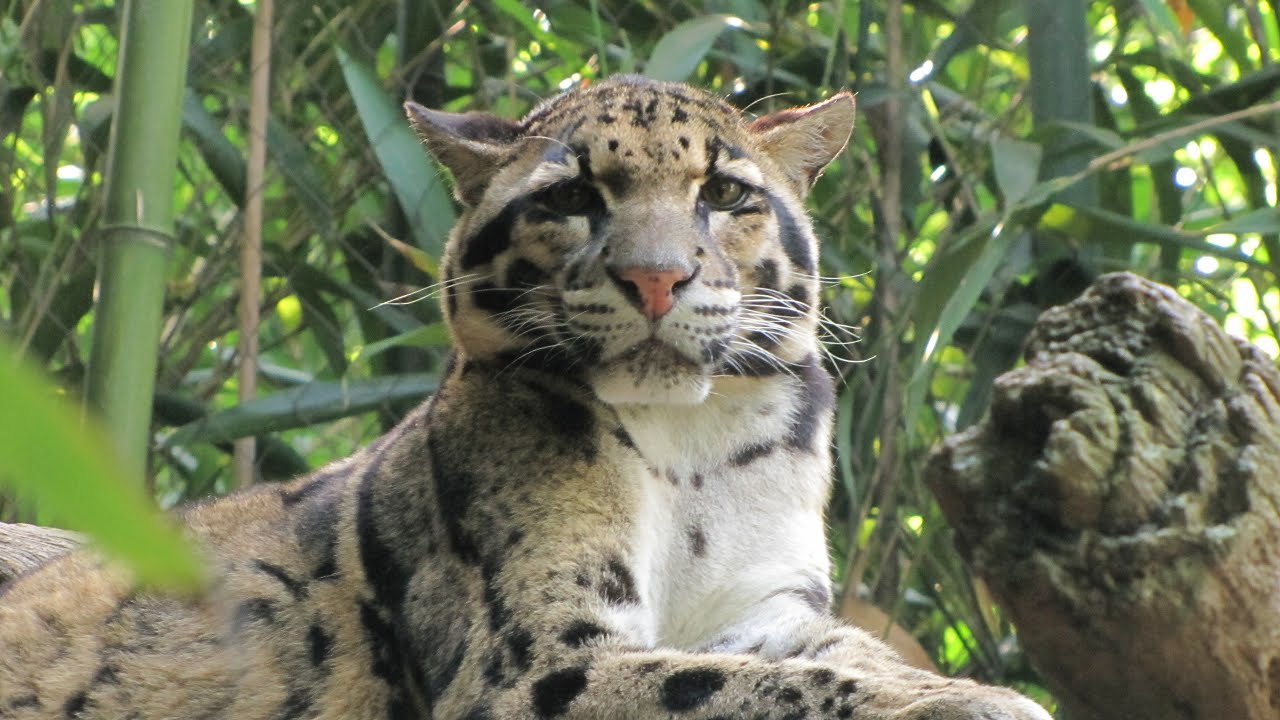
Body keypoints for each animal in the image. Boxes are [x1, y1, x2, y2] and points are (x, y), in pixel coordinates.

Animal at [0, 75, 1052, 720]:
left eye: (723, 193)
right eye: (573, 198)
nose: (656, 279)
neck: (695, 447)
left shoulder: (773, 608)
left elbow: (845, 659)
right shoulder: (532, 661)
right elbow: (735, 689)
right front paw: (979, 701)